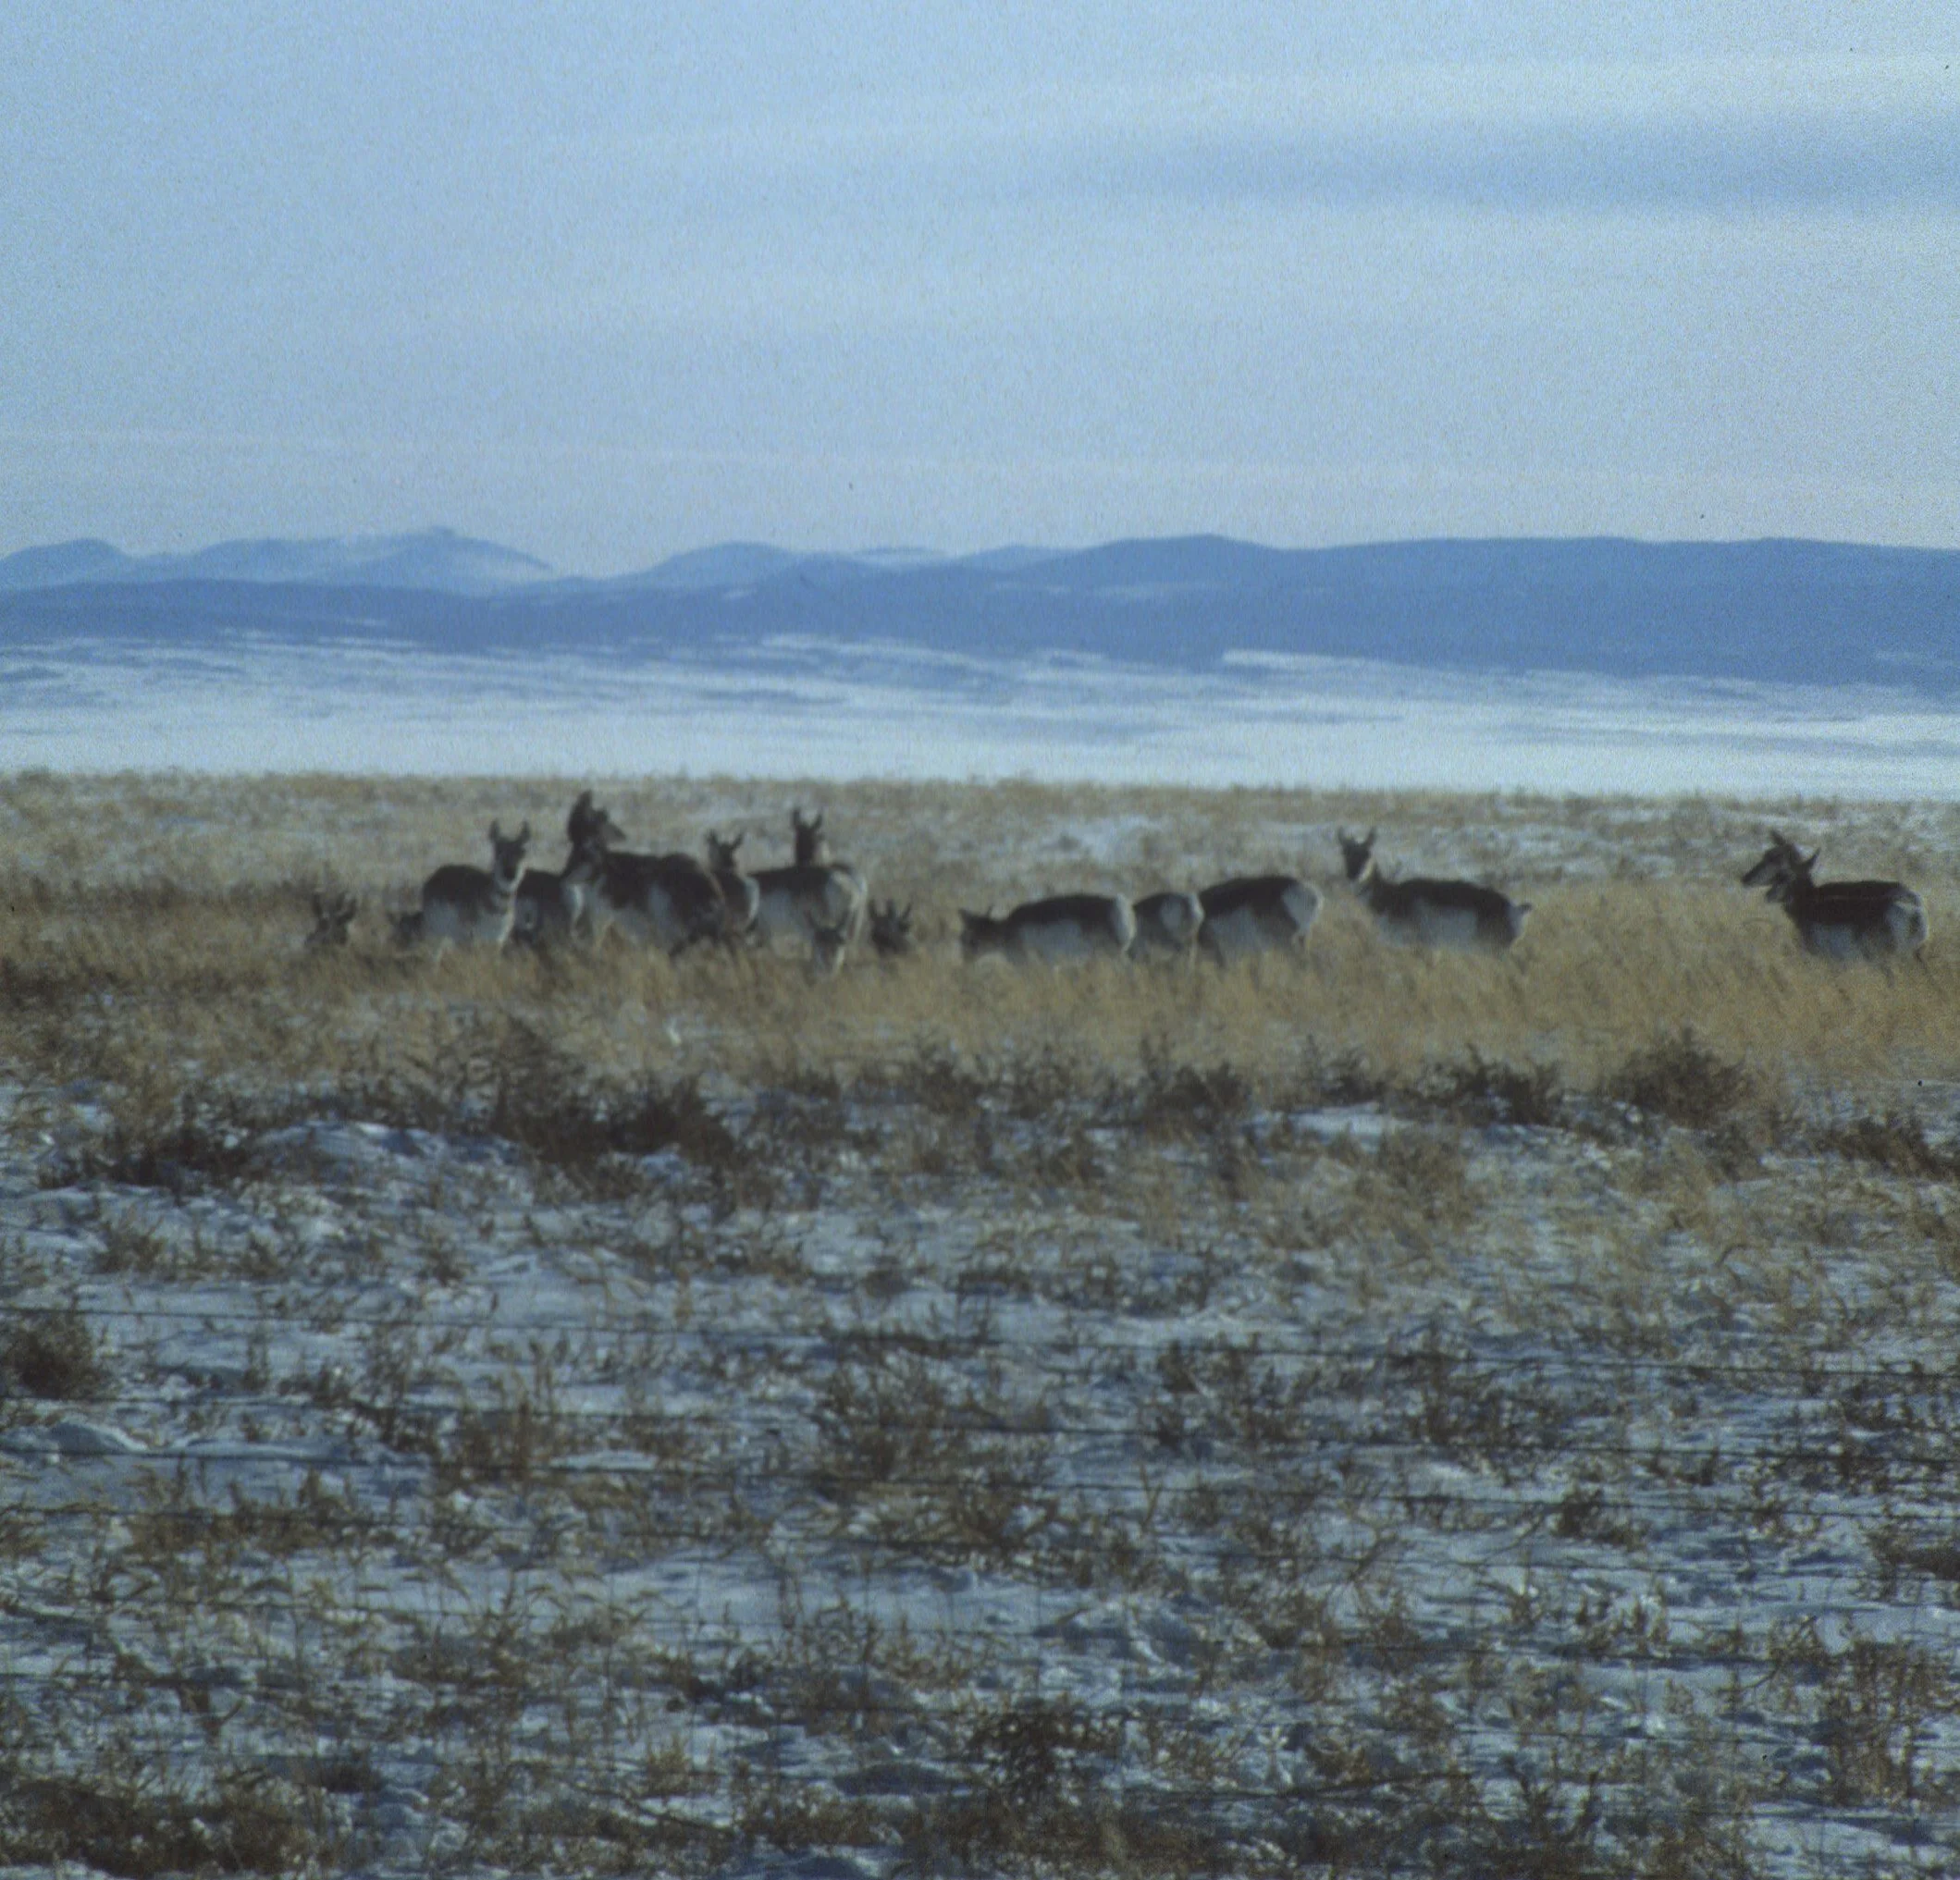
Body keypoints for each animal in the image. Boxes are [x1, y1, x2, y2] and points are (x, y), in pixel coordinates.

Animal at [405, 821, 531, 948]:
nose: (510, 873)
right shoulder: (469, 938)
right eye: (498, 851)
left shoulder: (497, 941)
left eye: (523, 852)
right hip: (435, 932)